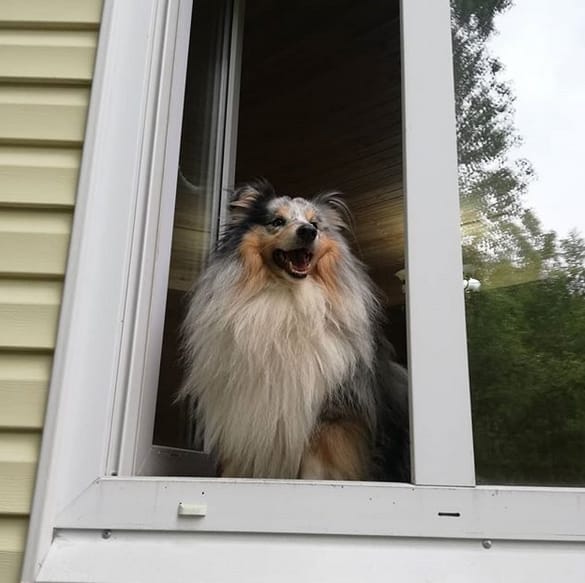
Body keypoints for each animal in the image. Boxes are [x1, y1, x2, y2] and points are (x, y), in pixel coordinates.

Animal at [179, 179, 410, 481]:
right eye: (277, 221)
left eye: (315, 223)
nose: (308, 231)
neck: (288, 299)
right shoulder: (242, 417)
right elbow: (235, 470)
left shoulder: (329, 417)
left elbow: (315, 472)